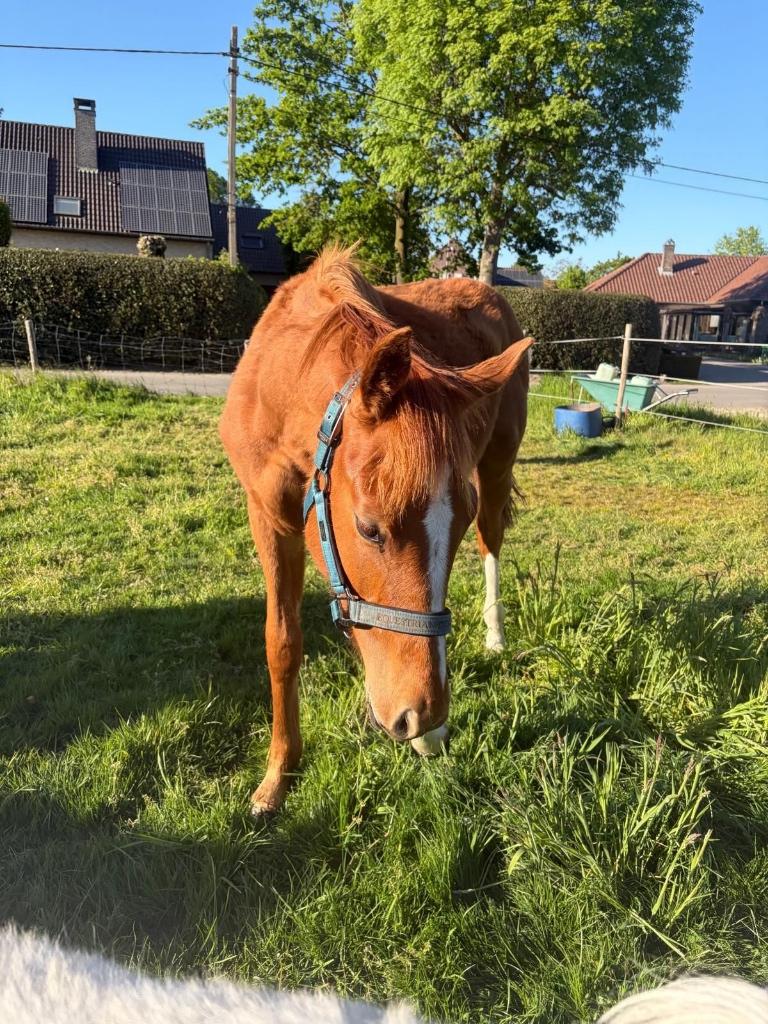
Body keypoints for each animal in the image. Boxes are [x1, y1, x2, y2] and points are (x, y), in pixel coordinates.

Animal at [220, 247, 533, 814]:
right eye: (368, 530)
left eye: (452, 530)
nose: (423, 715)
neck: (280, 387)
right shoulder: (268, 518)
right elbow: (283, 642)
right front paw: (278, 775)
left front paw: (427, 732)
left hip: (497, 467)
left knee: (492, 542)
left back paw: (495, 635)